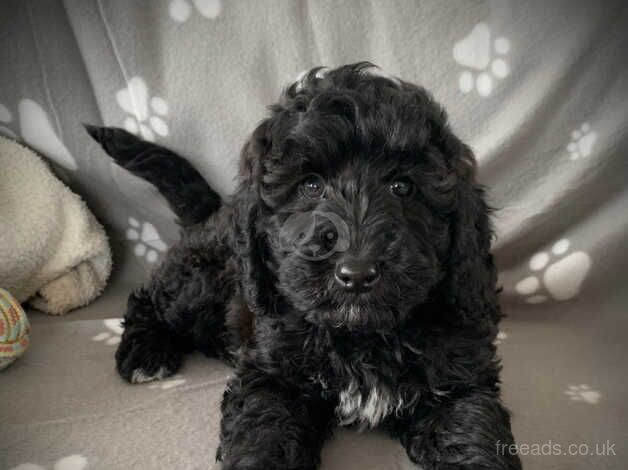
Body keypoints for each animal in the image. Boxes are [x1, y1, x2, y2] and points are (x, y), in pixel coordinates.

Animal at [87, 63, 520, 470]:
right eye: (311, 185)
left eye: (403, 187)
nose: (356, 273)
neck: (362, 337)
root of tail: (217, 209)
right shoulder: (272, 377)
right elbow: (265, 432)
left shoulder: (458, 381)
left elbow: (472, 434)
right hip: (200, 285)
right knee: (148, 298)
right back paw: (145, 353)